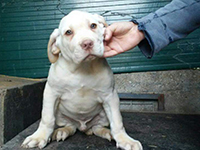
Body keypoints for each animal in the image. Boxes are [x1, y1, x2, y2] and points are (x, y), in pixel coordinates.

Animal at [21, 10, 142, 150]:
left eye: (93, 25)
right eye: (68, 32)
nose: (87, 43)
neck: (82, 68)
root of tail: (83, 127)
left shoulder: (110, 96)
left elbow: (117, 121)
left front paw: (124, 139)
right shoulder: (51, 93)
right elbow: (47, 118)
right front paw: (39, 137)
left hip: (103, 115)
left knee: (97, 127)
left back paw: (107, 133)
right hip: (61, 115)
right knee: (71, 127)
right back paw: (62, 131)